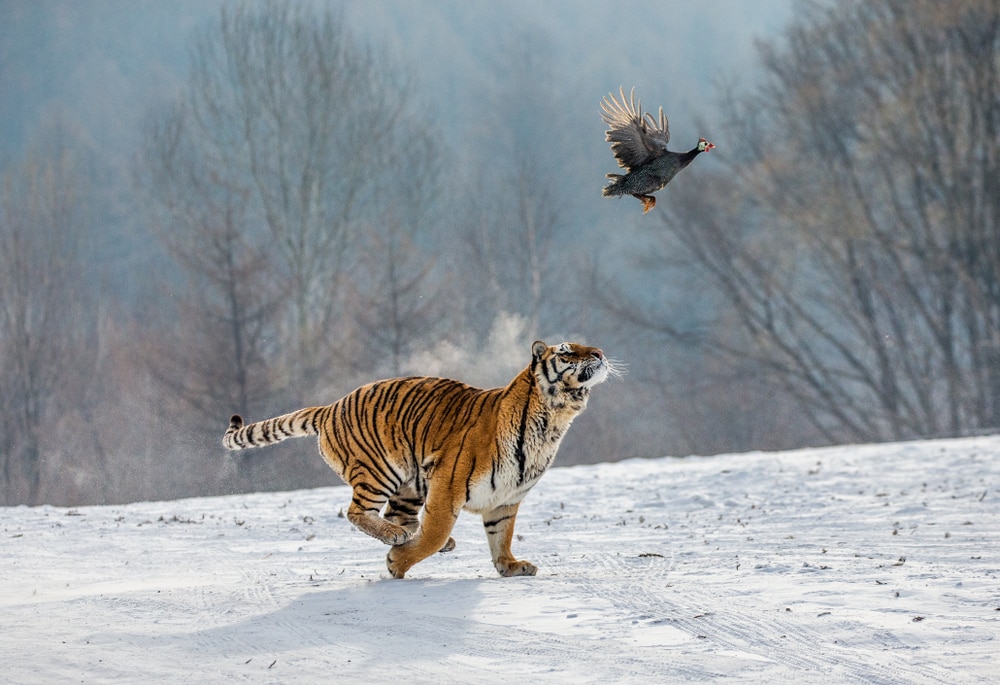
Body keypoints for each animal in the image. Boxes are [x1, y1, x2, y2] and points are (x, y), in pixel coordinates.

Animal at [222, 340, 615, 579]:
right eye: (566, 352)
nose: (599, 352)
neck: (553, 419)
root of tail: (330, 406)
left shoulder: (506, 498)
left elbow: (501, 535)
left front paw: (510, 566)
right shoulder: (448, 484)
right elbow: (436, 533)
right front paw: (398, 564)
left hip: (409, 487)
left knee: (393, 516)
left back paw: (403, 535)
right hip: (381, 471)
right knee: (358, 512)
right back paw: (398, 540)